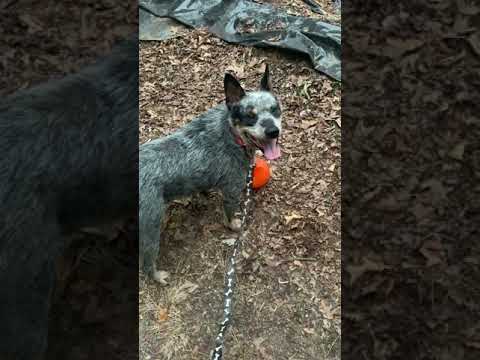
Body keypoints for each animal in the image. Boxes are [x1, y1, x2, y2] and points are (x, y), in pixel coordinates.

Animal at [139, 64, 282, 284]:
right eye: (250, 116)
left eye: (274, 109)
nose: (273, 131)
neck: (231, 133)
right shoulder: (232, 189)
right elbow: (229, 214)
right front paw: (234, 225)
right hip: (151, 225)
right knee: (146, 260)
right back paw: (157, 276)